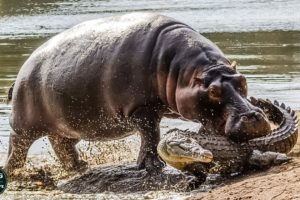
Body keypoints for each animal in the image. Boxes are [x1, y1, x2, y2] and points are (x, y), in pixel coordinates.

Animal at [4, 12, 270, 175]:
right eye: (213, 91)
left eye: (243, 80)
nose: (254, 116)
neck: (181, 71)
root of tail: (20, 73)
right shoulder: (141, 109)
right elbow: (151, 135)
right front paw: (153, 166)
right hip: (25, 125)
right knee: (17, 146)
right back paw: (16, 174)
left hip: (69, 125)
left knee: (61, 144)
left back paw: (80, 167)